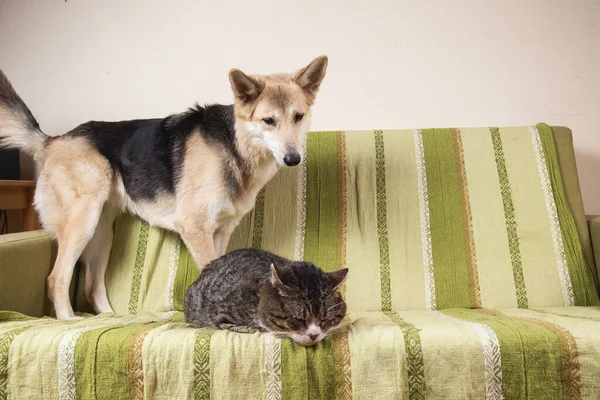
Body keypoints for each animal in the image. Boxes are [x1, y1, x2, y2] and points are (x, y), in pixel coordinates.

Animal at [0, 55, 328, 318]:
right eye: (268, 121)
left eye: (298, 117)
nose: (293, 159)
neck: (235, 144)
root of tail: (52, 141)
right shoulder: (195, 228)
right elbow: (211, 270)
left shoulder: (220, 232)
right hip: (83, 223)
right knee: (56, 279)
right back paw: (69, 322)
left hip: (101, 233)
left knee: (92, 288)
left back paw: (111, 318)